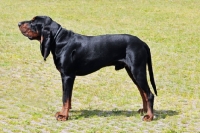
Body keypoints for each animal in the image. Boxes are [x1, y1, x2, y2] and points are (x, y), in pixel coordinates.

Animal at [18, 15, 157, 121]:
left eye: (33, 22)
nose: (19, 23)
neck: (58, 39)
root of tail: (143, 43)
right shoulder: (68, 77)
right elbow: (68, 96)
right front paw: (66, 111)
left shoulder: (67, 75)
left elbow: (65, 97)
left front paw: (63, 115)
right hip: (132, 71)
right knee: (143, 92)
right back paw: (144, 110)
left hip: (137, 70)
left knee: (149, 93)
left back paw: (149, 116)